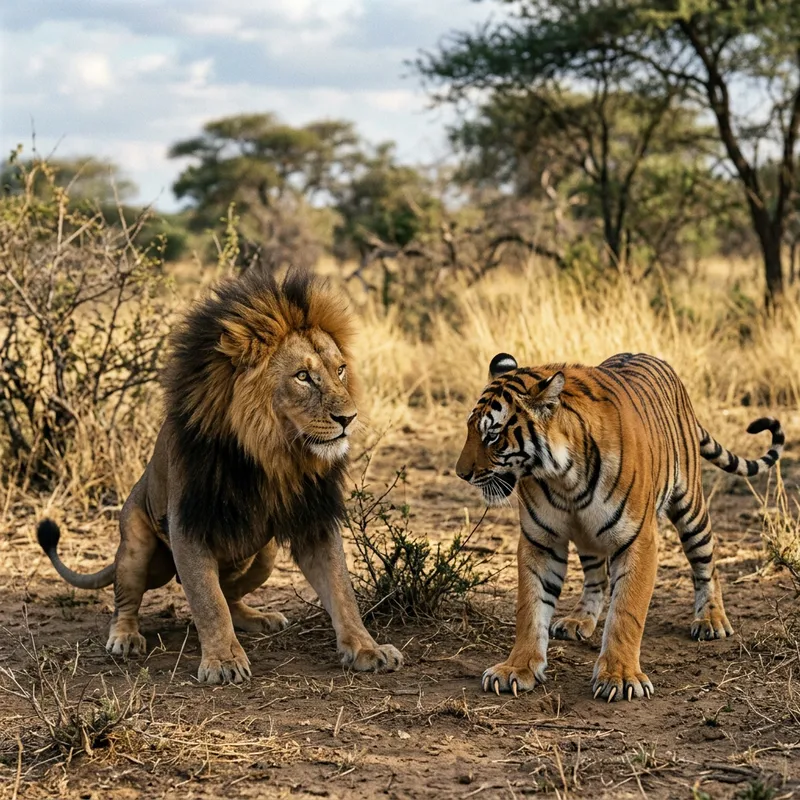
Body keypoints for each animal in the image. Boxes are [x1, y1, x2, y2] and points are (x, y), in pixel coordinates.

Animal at [37, 269, 403, 684]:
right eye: (303, 376)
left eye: (340, 370)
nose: (348, 418)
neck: (272, 453)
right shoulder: (188, 522)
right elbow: (209, 602)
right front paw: (224, 660)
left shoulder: (314, 519)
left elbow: (341, 590)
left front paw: (368, 648)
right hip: (136, 546)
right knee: (126, 601)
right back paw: (125, 638)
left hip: (265, 556)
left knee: (232, 595)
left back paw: (259, 617)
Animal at [456, 351, 784, 702]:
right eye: (470, 430)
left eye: (492, 435)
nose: (461, 474)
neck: (563, 477)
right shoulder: (540, 541)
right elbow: (530, 609)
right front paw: (516, 668)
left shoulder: (638, 540)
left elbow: (626, 612)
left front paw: (621, 677)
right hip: (589, 534)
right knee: (596, 578)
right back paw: (579, 620)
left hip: (691, 506)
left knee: (706, 561)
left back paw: (711, 619)